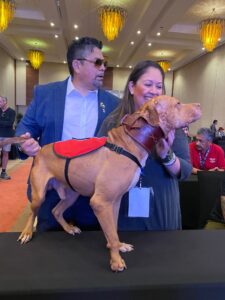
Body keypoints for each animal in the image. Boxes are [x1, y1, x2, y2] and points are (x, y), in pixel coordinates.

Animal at [7, 95, 200, 272]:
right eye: (177, 103)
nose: (199, 105)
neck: (130, 142)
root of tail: (40, 150)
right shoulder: (101, 202)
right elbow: (112, 235)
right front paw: (116, 261)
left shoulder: (114, 202)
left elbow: (113, 230)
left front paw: (119, 246)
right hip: (38, 195)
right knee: (33, 212)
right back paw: (27, 233)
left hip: (72, 195)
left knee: (56, 211)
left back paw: (69, 229)